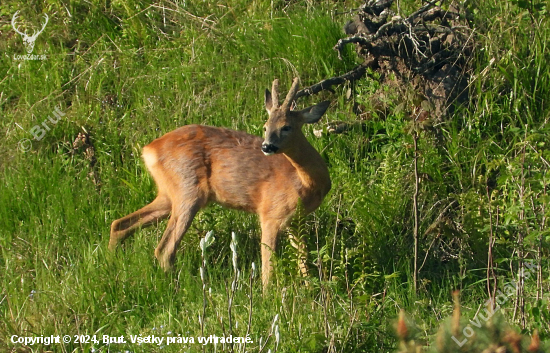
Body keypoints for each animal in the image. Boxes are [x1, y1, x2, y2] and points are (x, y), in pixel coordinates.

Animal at [110, 77, 330, 286]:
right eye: (266, 126)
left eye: (286, 127)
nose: (267, 146)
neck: (306, 182)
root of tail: (149, 150)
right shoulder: (271, 213)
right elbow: (268, 265)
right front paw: (268, 295)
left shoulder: (295, 219)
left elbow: (302, 257)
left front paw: (311, 288)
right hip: (187, 190)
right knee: (164, 249)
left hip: (168, 193)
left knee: (119, 224)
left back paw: (113, 262)